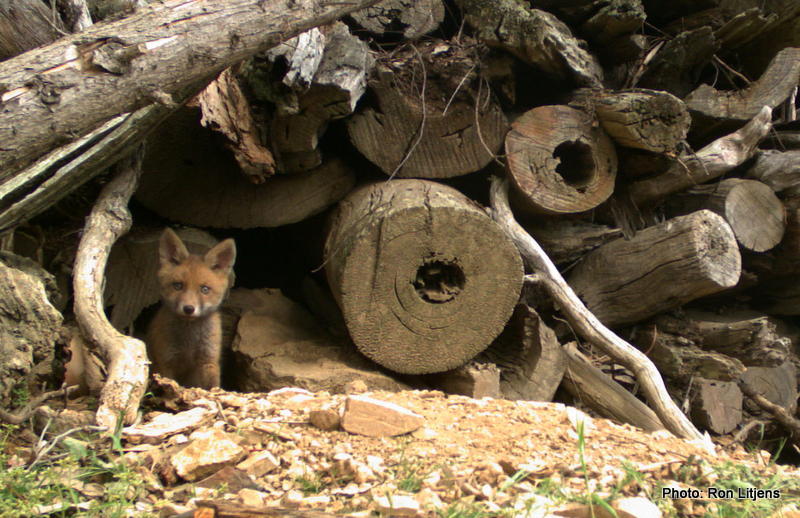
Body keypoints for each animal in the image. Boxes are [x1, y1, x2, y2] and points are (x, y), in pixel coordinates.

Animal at [146, 228, 236, 389]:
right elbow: (169, 385)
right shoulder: (166, 361)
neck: (188, 342)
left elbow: (212, 387)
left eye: (205, 289)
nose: (188, 309)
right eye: (178, 286)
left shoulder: (208, 360)